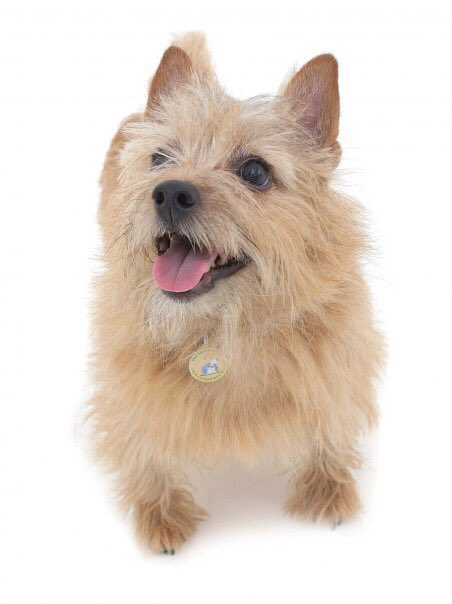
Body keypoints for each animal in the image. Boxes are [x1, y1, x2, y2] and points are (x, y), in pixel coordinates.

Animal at [87, 32, 383, 554]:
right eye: (159, 158)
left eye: (255, 172)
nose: (168, 192)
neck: (221, 328)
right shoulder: (129, 383)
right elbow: (144, 447)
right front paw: (161, 515)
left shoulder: (335, 364)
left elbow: (330, 428)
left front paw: (328, 492)